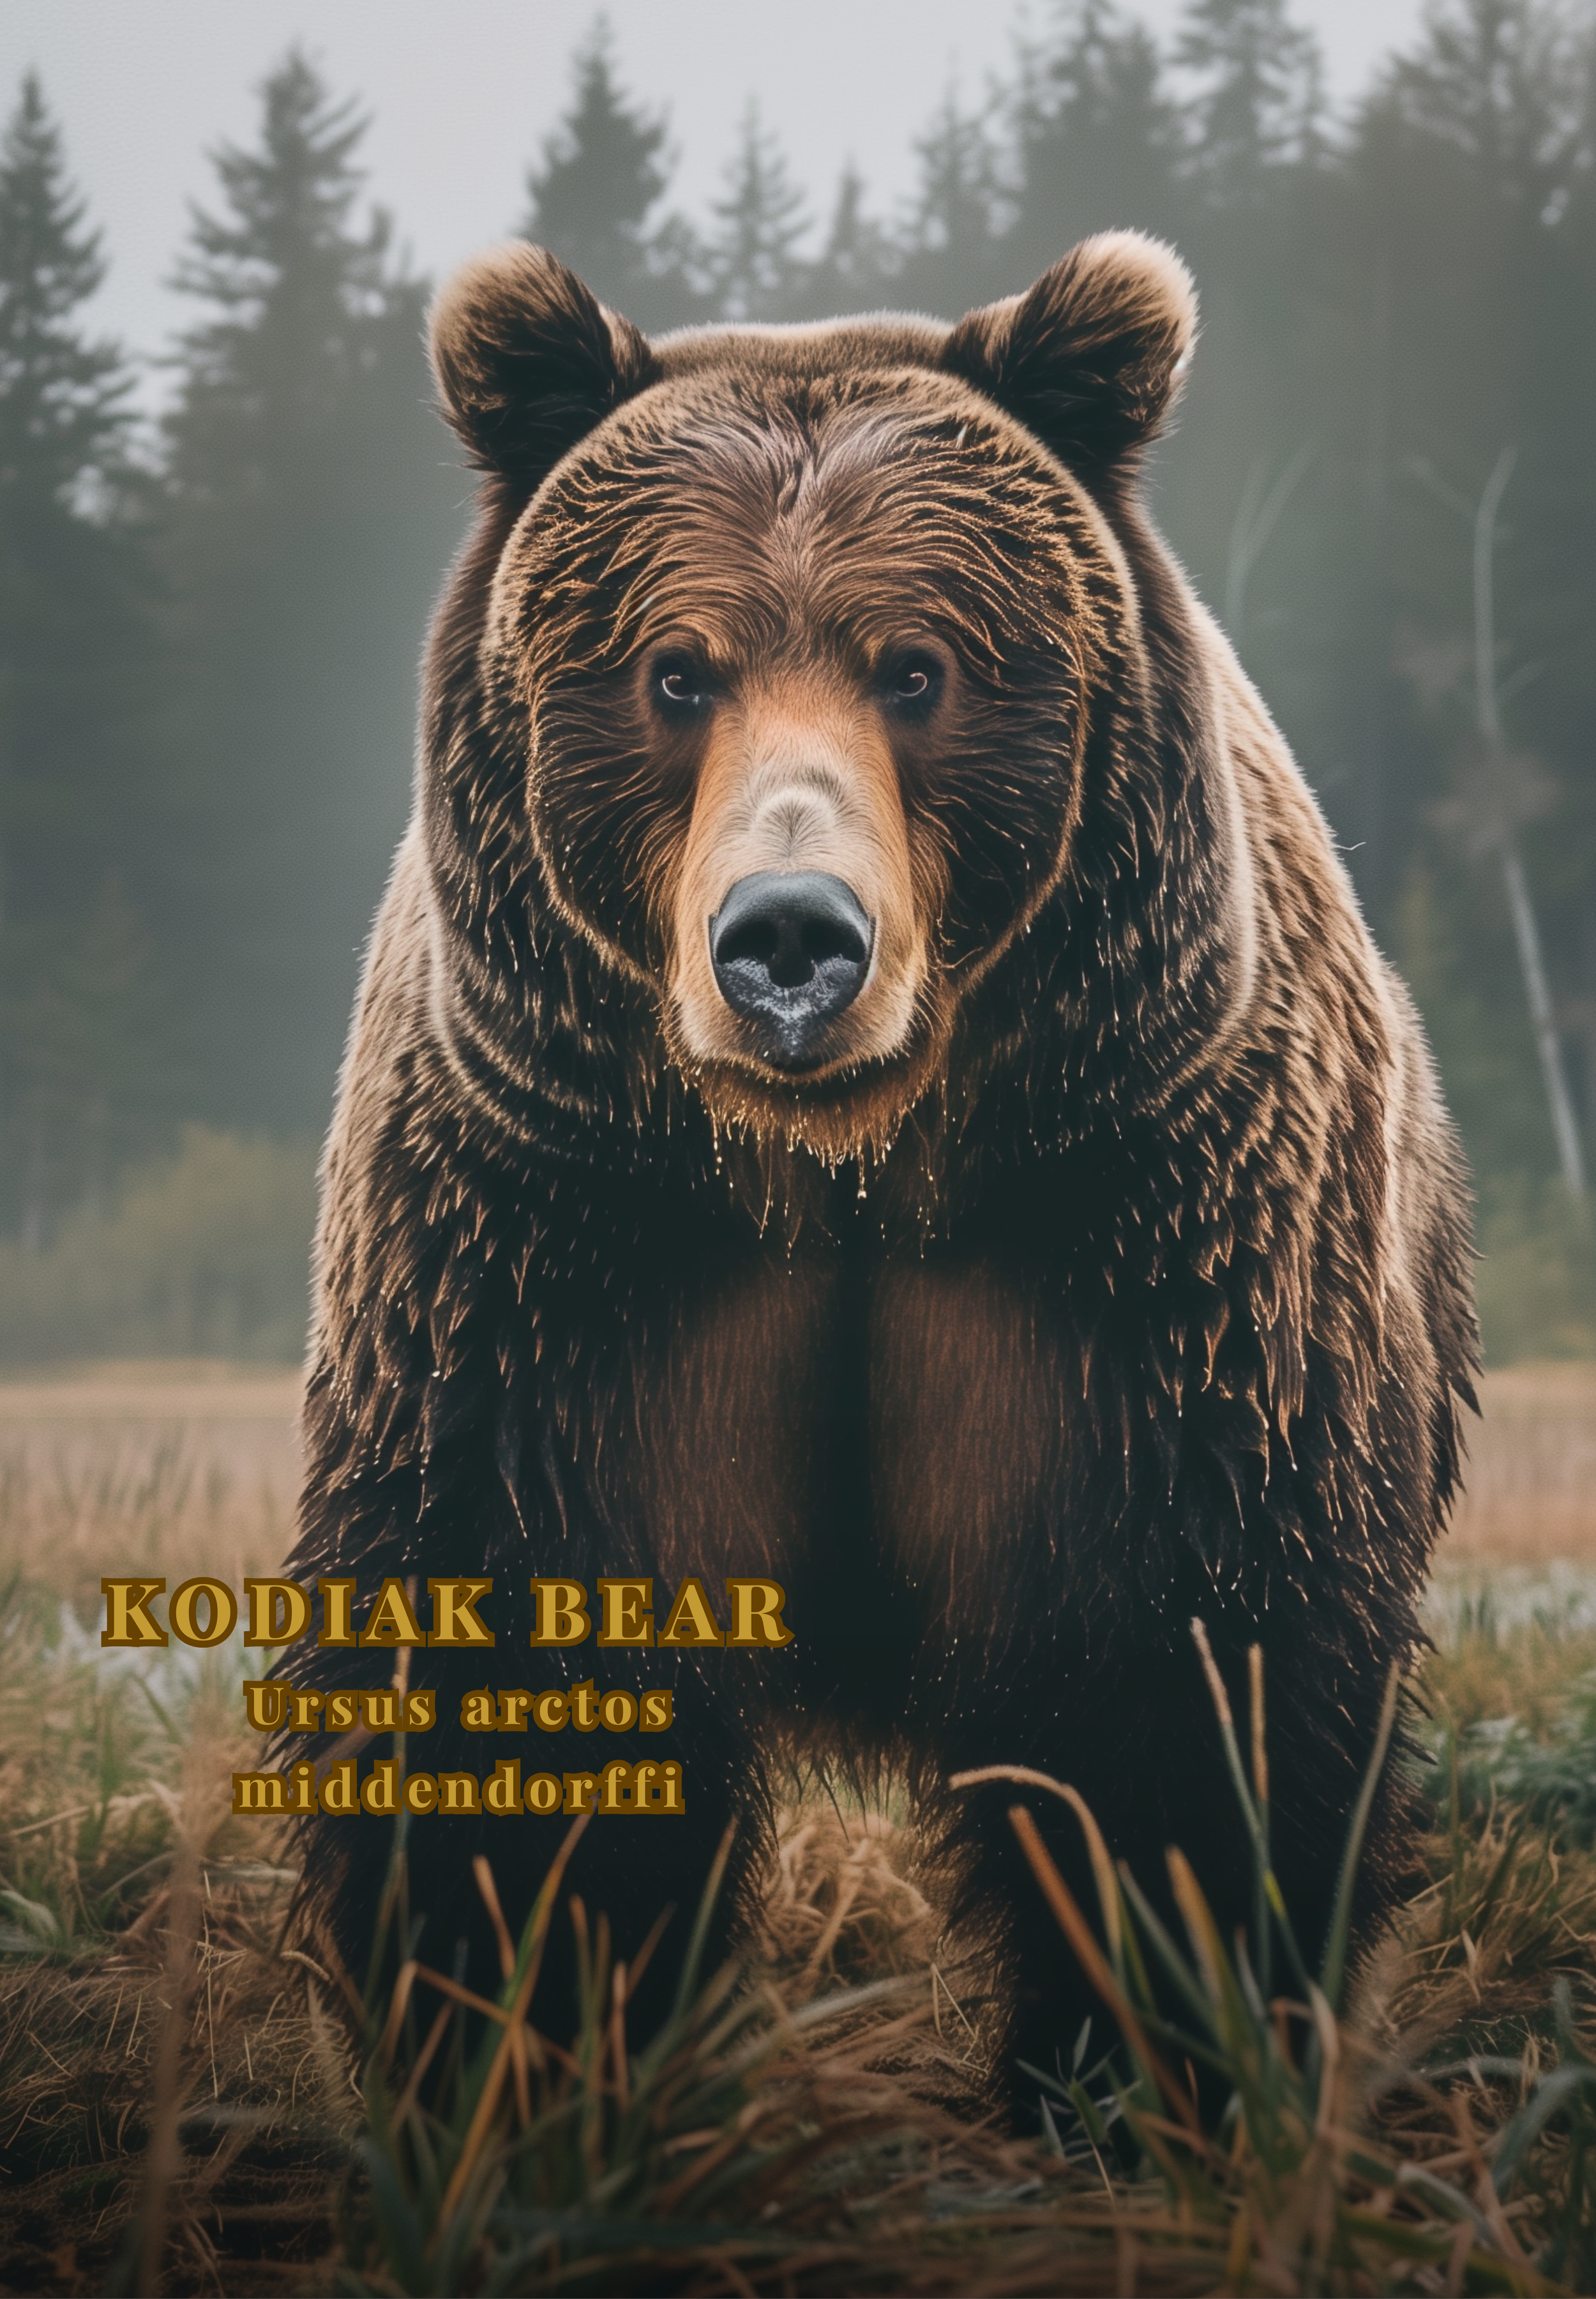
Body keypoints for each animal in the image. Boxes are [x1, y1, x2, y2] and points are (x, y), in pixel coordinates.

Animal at [281, 229, 1476, 2100]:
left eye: (915, 666)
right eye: (675, 670)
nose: (790, 940)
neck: (836, 1165)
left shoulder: (1142, 1248)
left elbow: (1187, 1686)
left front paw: (1143, 2056)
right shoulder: (549, 1252)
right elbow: (511, 1669)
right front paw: (517, 2049)